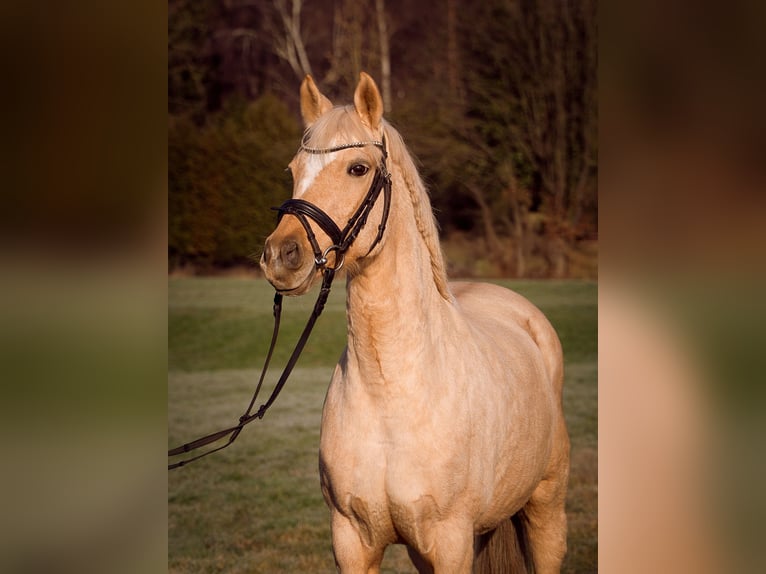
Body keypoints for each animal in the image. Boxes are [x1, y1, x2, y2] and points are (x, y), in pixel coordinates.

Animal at [260, 72, 569, 574]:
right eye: (292, 170)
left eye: (358, 168)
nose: (281, 256)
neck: (391, 392)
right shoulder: (354, 542)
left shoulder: (451, 542)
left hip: (546, 508)